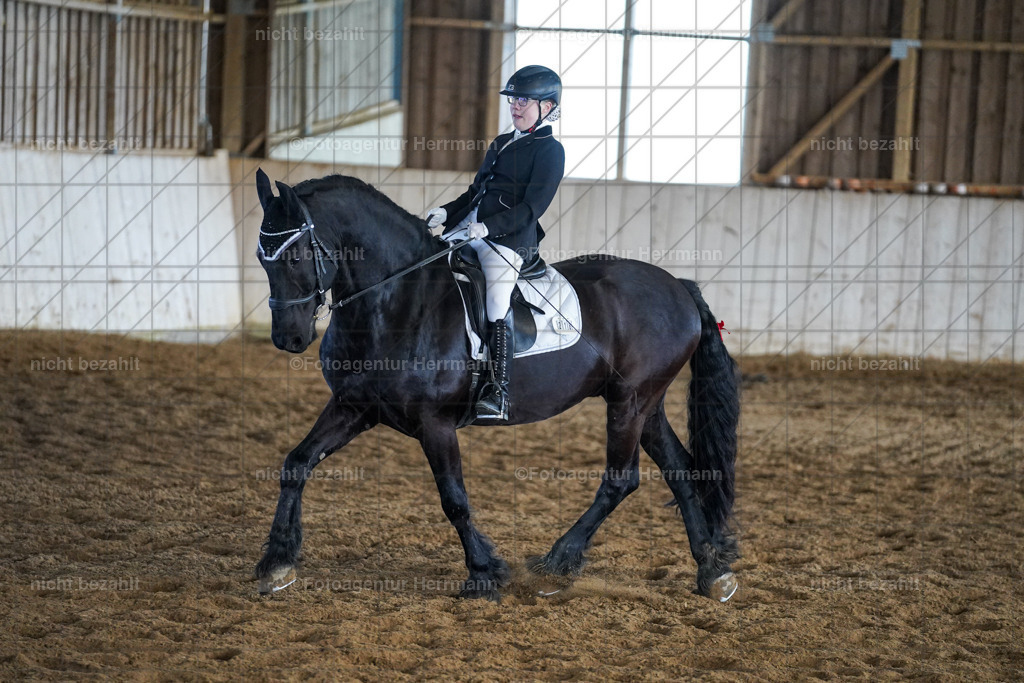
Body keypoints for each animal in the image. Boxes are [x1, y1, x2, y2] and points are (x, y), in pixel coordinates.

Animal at [252, 168, 741, 602]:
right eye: (261, 258)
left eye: (294, 256)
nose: (288, 339)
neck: (397, 300)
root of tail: (678, 286)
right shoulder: (354, 406)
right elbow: (296, 464)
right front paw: (277, 563)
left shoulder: (434, 424)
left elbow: (454, 500)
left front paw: (483, 574)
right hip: (647, 404)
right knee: (680, 470)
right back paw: (712, 571)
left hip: (629, 402)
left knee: (621, 479)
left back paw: (555, 564)